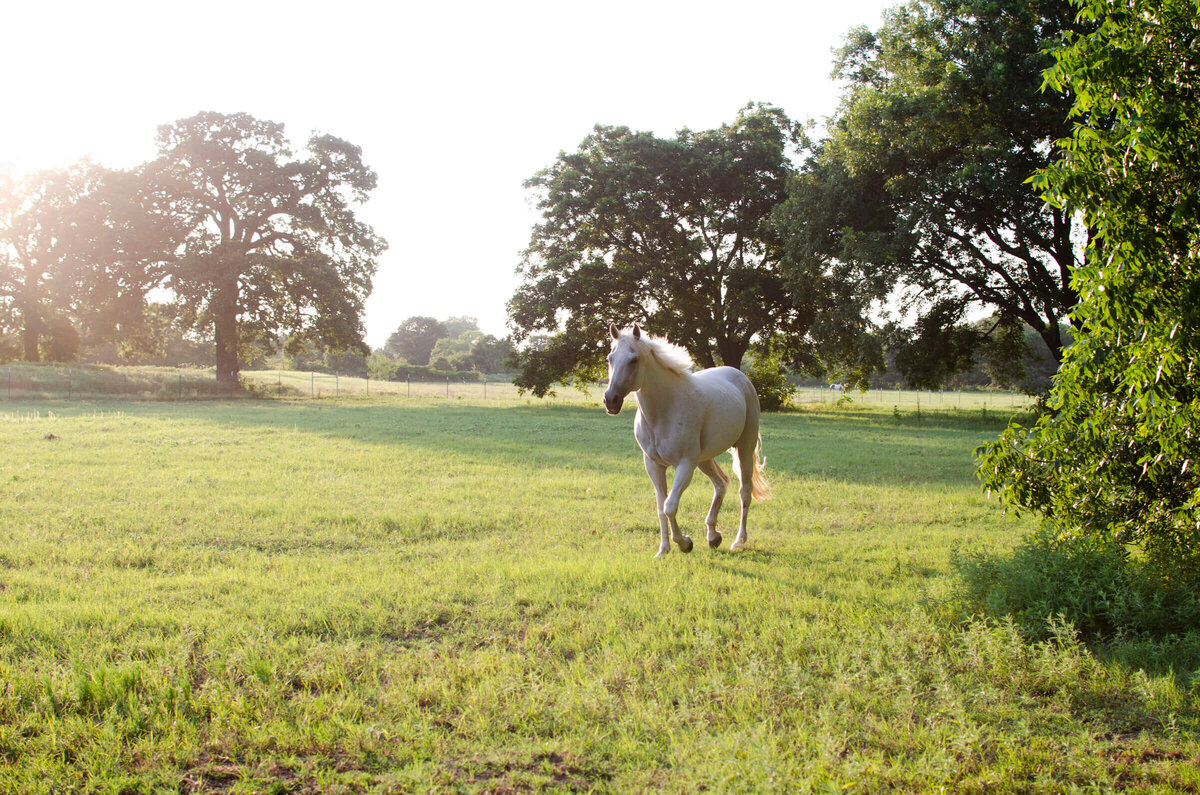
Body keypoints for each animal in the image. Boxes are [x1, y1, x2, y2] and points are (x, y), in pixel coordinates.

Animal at [604, 324, 772, 559]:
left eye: (634, 359)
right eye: (610, 358)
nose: (610, 400)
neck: (665, 410)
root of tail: (741, 377)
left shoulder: (684, 465)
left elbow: (670, 506)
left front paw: (685, 543)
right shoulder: (654, 466)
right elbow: (660, 508)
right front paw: (663, 550)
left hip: (743, 449)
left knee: (744, 492)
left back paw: (738, 541)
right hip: (704, 459)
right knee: (721, 483)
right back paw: (713, 536)